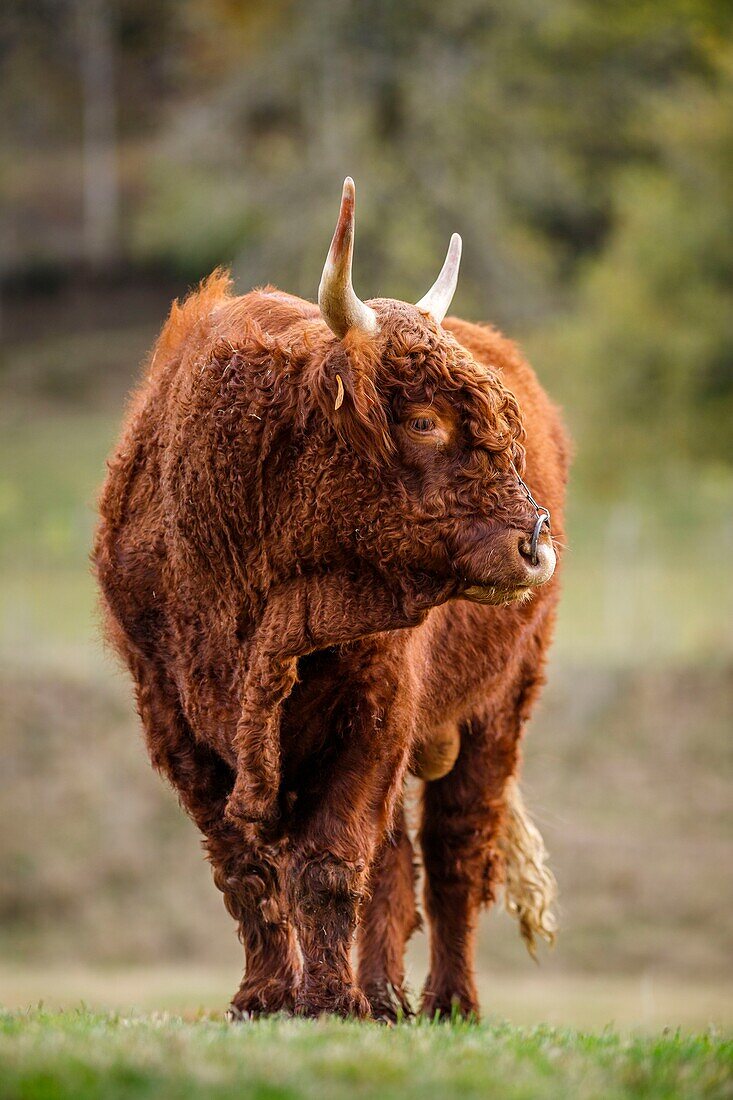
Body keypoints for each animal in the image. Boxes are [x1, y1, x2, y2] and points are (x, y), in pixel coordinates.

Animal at [94, 180, 567, 1020]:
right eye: (423, 420)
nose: (534, 542)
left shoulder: (375, 708)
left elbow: (330, 861)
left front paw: (325, 1001)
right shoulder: (172, 715)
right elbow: (244, 870)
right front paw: (265, 996)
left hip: (498, 706)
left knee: (451, 850)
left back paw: (446, 1001)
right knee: (399, 859)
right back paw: (380, 993)